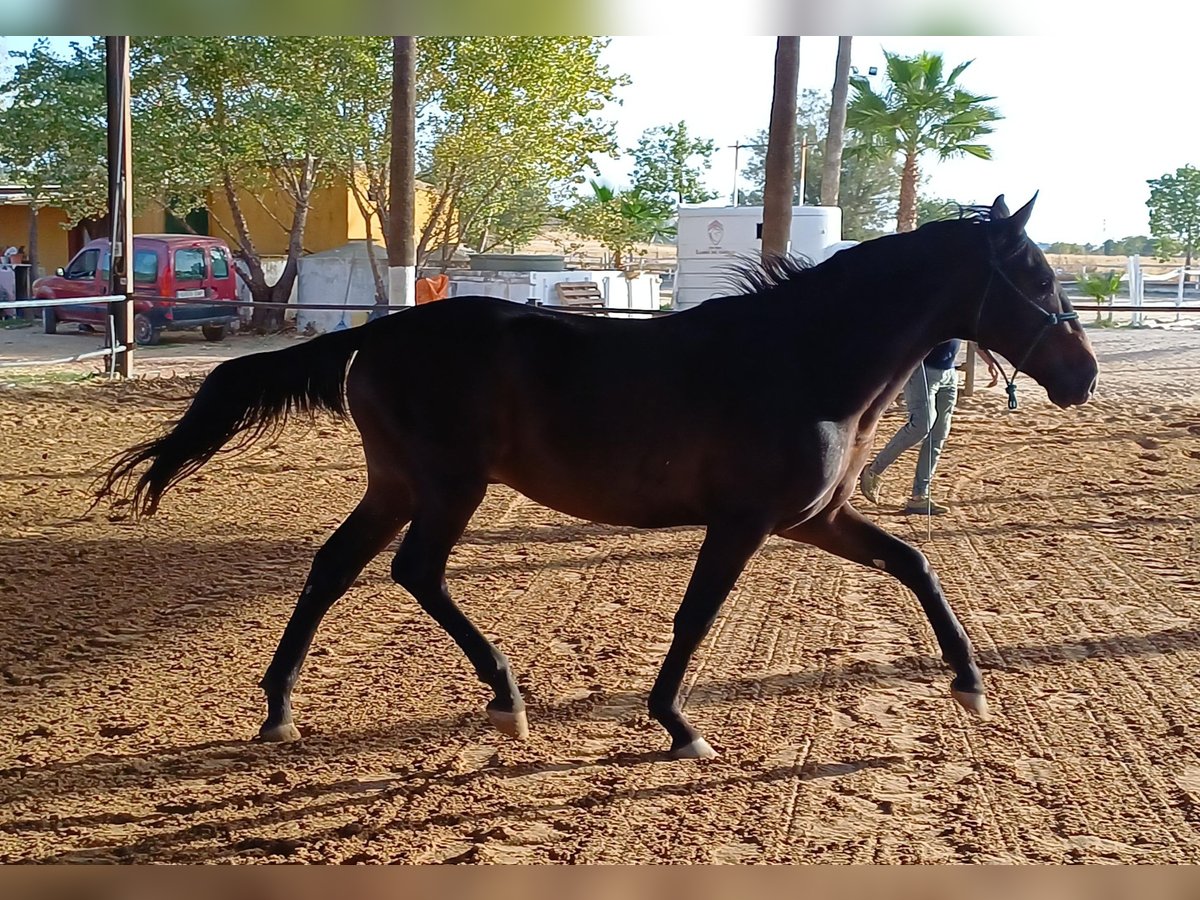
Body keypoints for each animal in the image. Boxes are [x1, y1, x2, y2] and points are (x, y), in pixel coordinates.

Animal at [98, 194, 1098, 760]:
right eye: (1037, 274)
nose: (1080, 374)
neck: (805, 359)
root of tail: (378, 331)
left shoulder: (816, 517)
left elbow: (915, 564)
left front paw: (970, 684)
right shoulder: (743, 522)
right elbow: (696, 617)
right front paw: (679, 726)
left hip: (396, 486)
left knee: (333, 568)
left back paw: (279, 711)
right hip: (447, 487)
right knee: (412, 572)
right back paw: (504, 700)